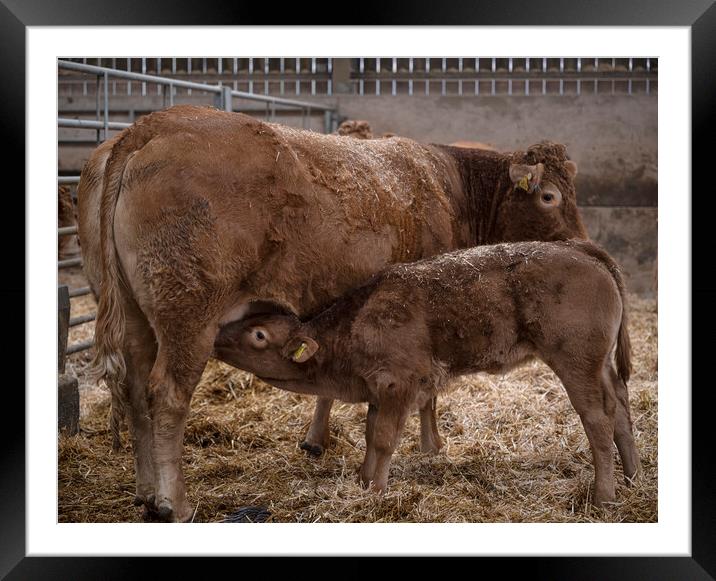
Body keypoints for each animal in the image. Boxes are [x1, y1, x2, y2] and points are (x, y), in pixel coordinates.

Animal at [77, 105, 588, 520]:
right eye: (550, 196)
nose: (581, 245)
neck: (453, 188)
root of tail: (154, 124)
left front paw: (317, 439)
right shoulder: (428, 304)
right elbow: (429, 393)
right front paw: (431, 446)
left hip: (134, 316)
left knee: (135, 390)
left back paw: (146, 494)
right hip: (190, 314)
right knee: (167, 394)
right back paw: (174, 504)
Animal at [215, 238, 640, 506]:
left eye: (258, 334)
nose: (217, 335)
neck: (359, 321)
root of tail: (579, 248)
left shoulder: (398, 383)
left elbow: (384, 438)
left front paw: (376, 492)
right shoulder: (378, 390)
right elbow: (370, 434)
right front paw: (363, 481)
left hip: (576, 363)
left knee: (598, 418)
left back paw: (603, 496)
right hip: (601, 366)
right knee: (620, 407)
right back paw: (633, 477)